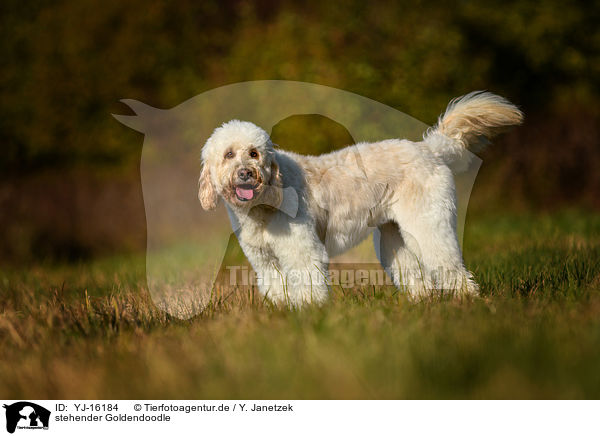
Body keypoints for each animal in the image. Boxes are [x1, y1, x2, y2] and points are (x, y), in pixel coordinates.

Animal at [199, 90, 524, 304]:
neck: (263, 205)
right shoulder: (265, 261)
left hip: (429, 224)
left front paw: (309, 312)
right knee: (413, 274)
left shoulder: (302, 250)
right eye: (229, 154)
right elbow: (277, 288)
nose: (246, 173)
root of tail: (429, 148)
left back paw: (466, 299)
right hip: (394, 237)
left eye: (254, 153)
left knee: (448, 264)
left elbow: (309, 283)